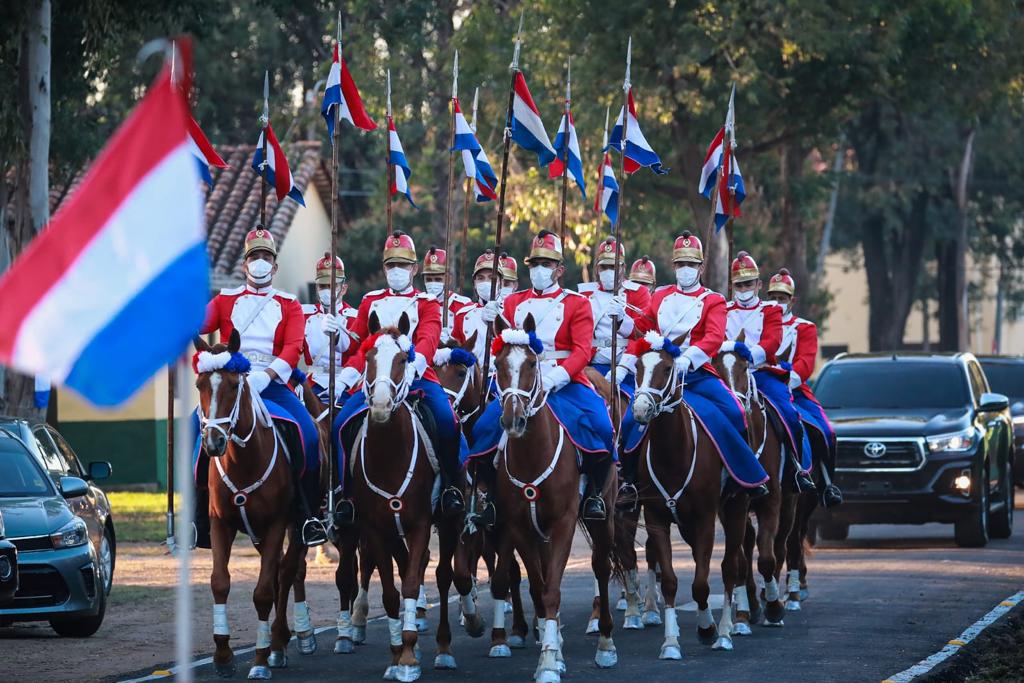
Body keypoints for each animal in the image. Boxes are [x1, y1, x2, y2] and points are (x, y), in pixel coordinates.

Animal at [192, 331, 311, 679]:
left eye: (234, 385)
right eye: (200, 385)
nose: (214, 442)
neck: (243, 461)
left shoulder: (276, 523)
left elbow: (263, 592)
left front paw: (259, 658)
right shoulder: (220, 522)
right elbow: (219, 583)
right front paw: (222, 654)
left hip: (297, 525)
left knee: (287, 571)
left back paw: (282, 641)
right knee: (281, 573)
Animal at [485, 317, 614, 679]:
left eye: (531, 363)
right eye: (498, 364)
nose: (513, 420)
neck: (533, 453)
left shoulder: (563, 524)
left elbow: (553, 589)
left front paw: (547, 663)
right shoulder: (520, 527)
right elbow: (539, 588)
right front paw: (551, 653)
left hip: (605, 514)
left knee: (602, 568)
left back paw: (606, 643)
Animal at [626, 339, 749, 659]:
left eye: (668, 368)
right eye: (638, 366)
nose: (641, 409)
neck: (674, 453)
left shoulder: (705, 519)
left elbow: (702, 584)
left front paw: (708, 629)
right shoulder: (656, 519)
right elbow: (671, 581)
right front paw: (670, 642)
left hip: (736, 508)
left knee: (730, 568)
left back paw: (726, 632)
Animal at [712, 350, 798, 634]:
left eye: (743, 368)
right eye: (714, 367)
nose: (734, 404)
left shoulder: (771, 502)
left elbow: (768, 558)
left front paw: (774, 608)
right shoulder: (727, 507)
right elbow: (740, 559)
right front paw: (744, 612)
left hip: (789, 504)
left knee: (780, 546)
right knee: (748, 544)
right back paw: (750, 604)